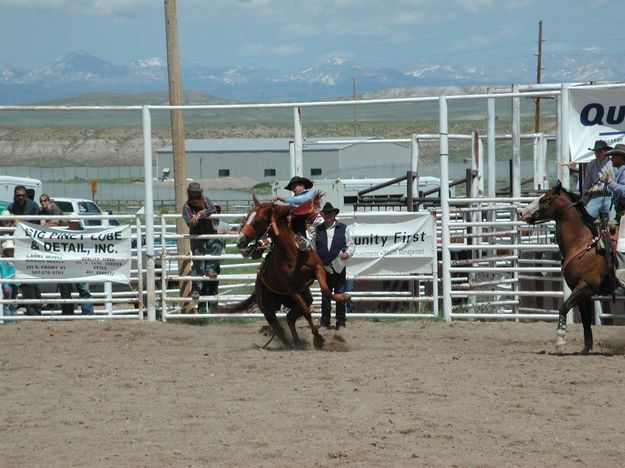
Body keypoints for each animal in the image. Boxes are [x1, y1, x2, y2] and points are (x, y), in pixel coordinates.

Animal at [213, 192, 348, 350]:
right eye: (247, 217)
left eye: (258, 221)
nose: (240, 241)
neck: (293, 255)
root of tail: (256, 289)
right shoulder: (292, 289)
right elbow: (306, 312)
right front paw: (318, 339)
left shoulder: (317, 269)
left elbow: (326, 291)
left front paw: (343, 297)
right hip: (268, 309)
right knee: (279, 327)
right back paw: (290, 343)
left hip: (302, 296)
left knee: (290, 317)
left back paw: (297, 342)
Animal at [516, 181, 616, 352]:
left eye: (544, 199)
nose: (521, 212)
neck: (582, 246)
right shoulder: (581, 290)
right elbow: (585, 320)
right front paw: (585, 349)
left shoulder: (585, 286)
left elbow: (563, 307)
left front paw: (560, 341)